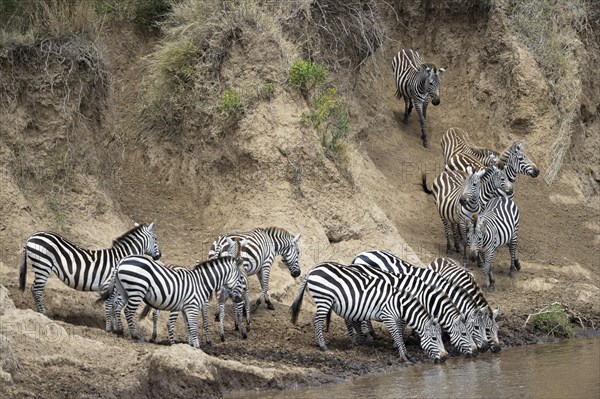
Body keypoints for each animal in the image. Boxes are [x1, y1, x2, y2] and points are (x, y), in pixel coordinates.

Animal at [18, 222, 161, 316]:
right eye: (156, 239)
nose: (159, 256)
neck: (120, 258)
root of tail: (32, 236)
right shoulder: (110, 285)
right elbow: (111, 304)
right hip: (43, 265)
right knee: (37, 289)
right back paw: (43, 313)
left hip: (41, 266)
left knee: (34, 288)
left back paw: (39, 311)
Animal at [101, 239, 246, 348]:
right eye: (241, 278)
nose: (239, 299)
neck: (202, 282)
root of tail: (121, 261)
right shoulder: (193, 306)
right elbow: (194, 327)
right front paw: (197, 347)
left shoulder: (185, 308)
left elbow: (189, 327)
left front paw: (191, 346)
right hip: (137, 290)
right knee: (128, 311)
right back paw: (135, 336)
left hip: (124, 290)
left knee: (117, 306)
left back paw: (120, 331)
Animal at [288, 262, 448, 366]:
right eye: (434, 338)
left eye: (440, 338)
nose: (445, 357)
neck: (400, 305)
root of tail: (313, 269)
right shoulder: (388, 316)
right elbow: (397, 336)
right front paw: (404, 357)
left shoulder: (395, 318)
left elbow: (400, 336)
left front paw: (407, 354)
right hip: (324, 298)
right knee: (318, 321)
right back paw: (323, 346)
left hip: (323, 301)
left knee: (315, 319)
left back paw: (317, 342)